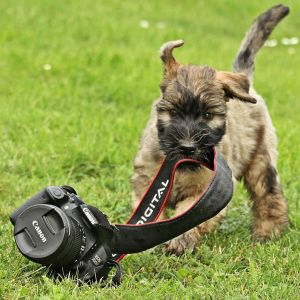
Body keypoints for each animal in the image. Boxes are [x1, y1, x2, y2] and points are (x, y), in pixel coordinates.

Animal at [131, 4, 288, 255]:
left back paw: (267, 233)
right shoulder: (145, 179)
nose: (187, 147)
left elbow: (188, 215)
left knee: (269, 195)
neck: (181, 166)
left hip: (261, 160)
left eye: (208, 115)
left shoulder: (207, 192)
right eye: (173, 112)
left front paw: (179, 242)